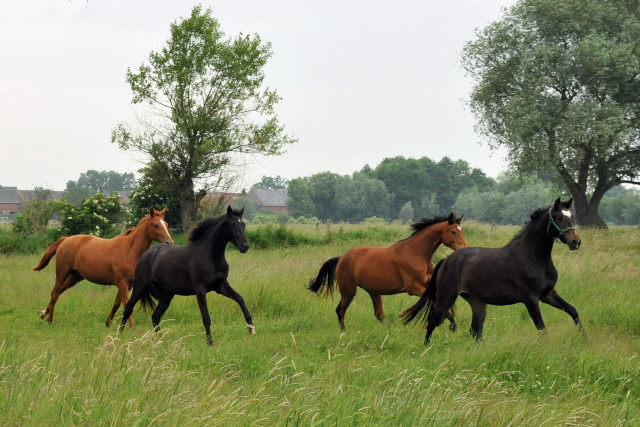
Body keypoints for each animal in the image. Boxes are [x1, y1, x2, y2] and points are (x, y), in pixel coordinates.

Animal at [32, 210, 172, 328]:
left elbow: (116, 304)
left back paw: (43, 314)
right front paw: (132, 328)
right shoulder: (122, 283)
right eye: (156, 225)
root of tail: (66, 239)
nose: (169, 243)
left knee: (58, 292)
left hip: (75, 277)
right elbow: (126, 305)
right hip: (62, 273)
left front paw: (108, 323)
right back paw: (49, 320)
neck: (129, 250)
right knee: (55, 293)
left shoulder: (128, 285)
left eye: (166, 224)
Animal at [119, 206, 254, 346]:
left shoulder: (221, 286)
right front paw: (210, 342)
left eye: (243, 225)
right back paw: (120, 335)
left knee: (155, 316)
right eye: (232, 224)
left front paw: (251, 328)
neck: (211, 256)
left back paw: (159, 340)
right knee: (128, 308)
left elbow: (240, 299)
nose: (245, 246)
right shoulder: (200, 290)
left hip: (167, 294)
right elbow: (206, 317)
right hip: (140, 286)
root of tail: (146, 255)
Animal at [308, 214, 468, 332]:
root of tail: (341, 258)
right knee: (340, 310)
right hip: (349, 291)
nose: (463, 249)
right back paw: (343, 332)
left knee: (379, 314)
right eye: (453, 231)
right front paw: (453, 325)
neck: (417, 253)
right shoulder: (413, 288)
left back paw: (390, 331)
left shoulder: (428, 284)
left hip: (374, 292)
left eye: (462, 231)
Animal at [402, 200, 584, 344]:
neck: (533, 257)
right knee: (434, 321)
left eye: (572, 217)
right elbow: (542, 328)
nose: (575, 242)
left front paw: (585, 340)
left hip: (477, 302)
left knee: (475, 331)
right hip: (446, 296)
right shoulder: (530, 298)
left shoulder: (548, 294)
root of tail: (446, 260)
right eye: (559, 218)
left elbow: (573, 311)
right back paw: (426, 347)